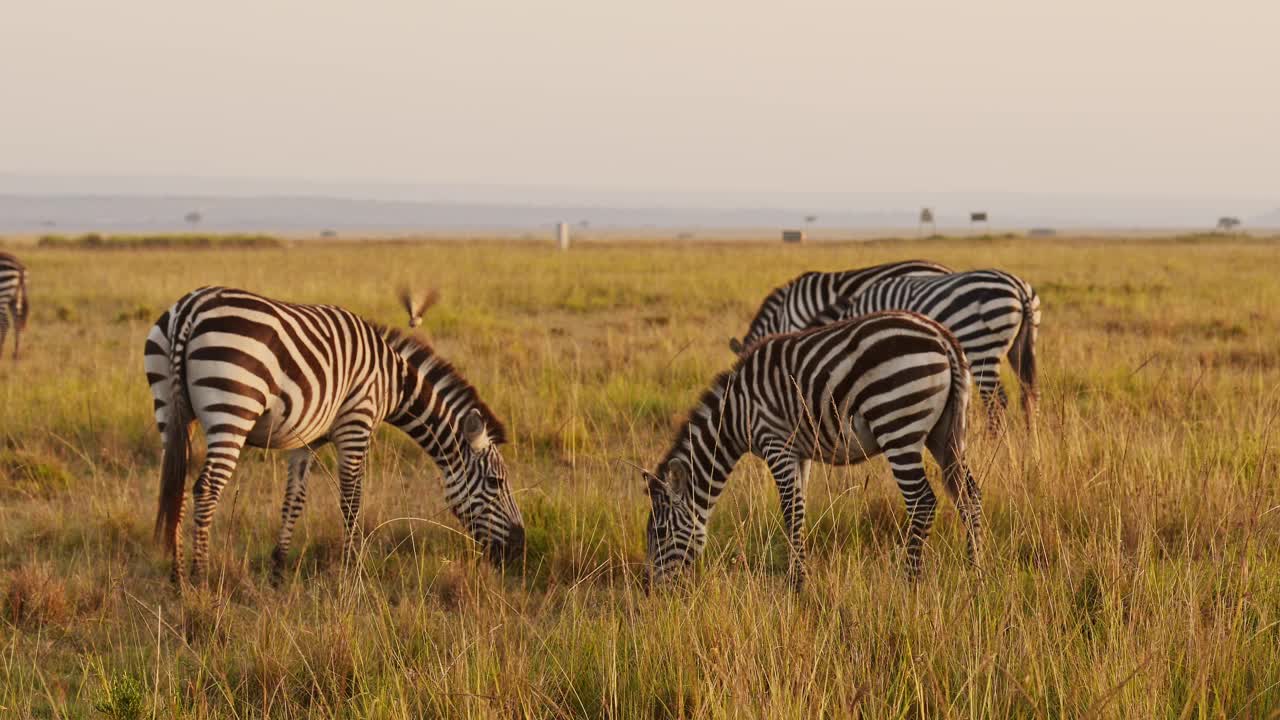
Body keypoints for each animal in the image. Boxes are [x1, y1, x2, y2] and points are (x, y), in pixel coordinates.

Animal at [147, 284, 527, 584]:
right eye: (495, 482)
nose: (520, 546)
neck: (392, 382)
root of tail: (190, 309)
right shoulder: (357, 423)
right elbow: (352, 499)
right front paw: (352, 568)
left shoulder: (305, 440)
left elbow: (294, 501)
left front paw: (278, 570)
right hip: (232, 410)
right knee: (207, 488)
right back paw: (199, 577)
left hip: (169, 409)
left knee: (177, 486)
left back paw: (177, 578)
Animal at [640, 307, 977, 584]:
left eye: (660, 533)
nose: (652, 591)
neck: (736, 413)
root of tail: (943, 337)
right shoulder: (798, 453)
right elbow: (798, 512)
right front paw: (797, 577)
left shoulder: (776, 444)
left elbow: (791, 512)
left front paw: (797, 583)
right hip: (944, 433)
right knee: (969, 494)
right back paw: (975, 570)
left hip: (897, 422)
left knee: (923, 501)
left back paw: (910, 581)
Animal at [824, 269, 1044, 425]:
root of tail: (1020, 288)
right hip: (1023, 344)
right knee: (1030, 393)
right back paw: (1029, 442)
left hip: (981, 345)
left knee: (997, 401)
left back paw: (994, 445)